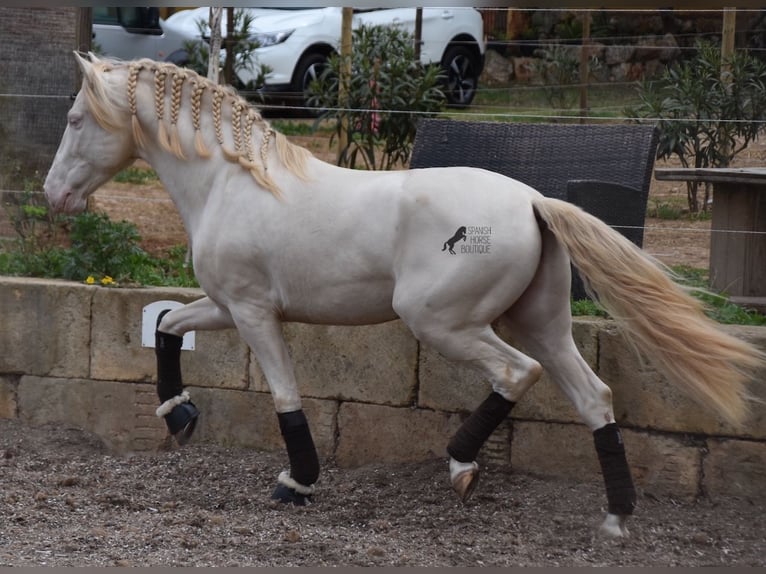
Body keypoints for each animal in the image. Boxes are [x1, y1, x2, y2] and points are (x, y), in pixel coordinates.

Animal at [45, 54, 764, 540]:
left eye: (76, 119)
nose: (55, 195)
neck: (232, 181)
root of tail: (533, 202)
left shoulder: (252, 311)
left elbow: (284, 396)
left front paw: (296, 483)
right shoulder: (224, 305)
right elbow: (168, 323)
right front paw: (179, 417)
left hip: (443, 322)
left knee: (517, 373)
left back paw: (462, 466)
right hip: (541, 321)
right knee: (593, 396)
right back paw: (614, 518)